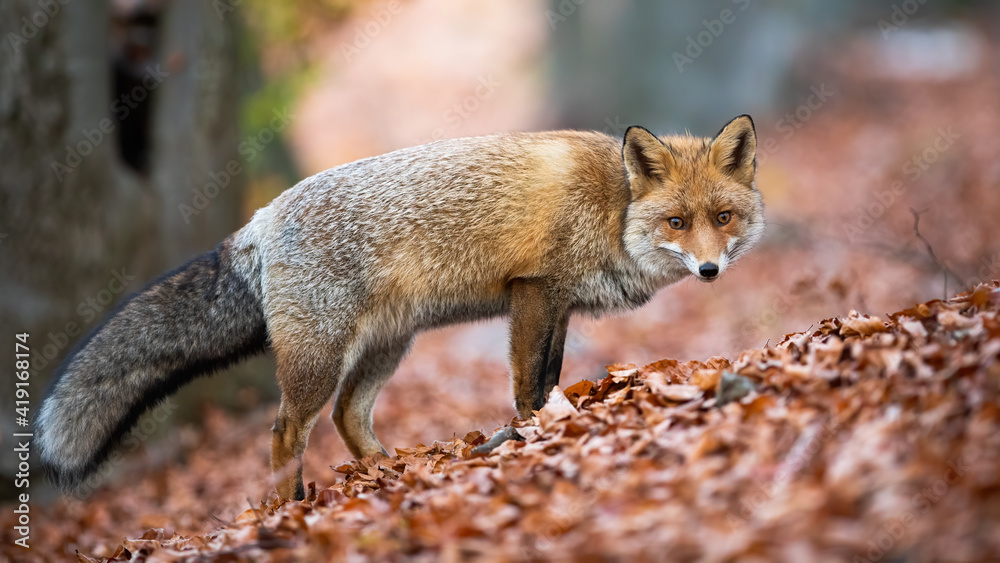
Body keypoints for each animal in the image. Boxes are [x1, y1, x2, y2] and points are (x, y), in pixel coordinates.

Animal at [37, 115, 763, 500]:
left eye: (723, 218)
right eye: (676, 222)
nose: (709, 269)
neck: (612, 206)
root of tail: (261, 218)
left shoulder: (559, 304)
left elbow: (551, 376)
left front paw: (550, 422)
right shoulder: (534, 290)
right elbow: (529, 384)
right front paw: (535, 432)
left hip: (387, 347)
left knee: (346, 417)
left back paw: (388, 470)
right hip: (319, 359)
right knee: (286, 430)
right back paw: (286, 507)